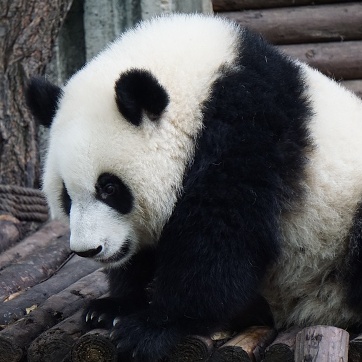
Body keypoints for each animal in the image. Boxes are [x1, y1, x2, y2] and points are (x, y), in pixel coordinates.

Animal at [26, 12, 362, 360]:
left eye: (109, 188)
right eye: (66, 194)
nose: (88, 249)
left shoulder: (247, 133)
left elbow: (220, 239)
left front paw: (152, 327)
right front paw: (111, 307)